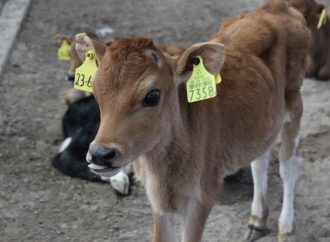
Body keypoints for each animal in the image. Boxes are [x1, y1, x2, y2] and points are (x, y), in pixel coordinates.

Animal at [76, 0, 310, 241]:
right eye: (94, 90)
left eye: (152, 96)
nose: (100, 154)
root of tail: (275, 7)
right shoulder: (158, 201)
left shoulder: (204, 194)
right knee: (260, 159)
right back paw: (257, 220)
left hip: (295, 102)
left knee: (289, 164)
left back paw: (287, 228)